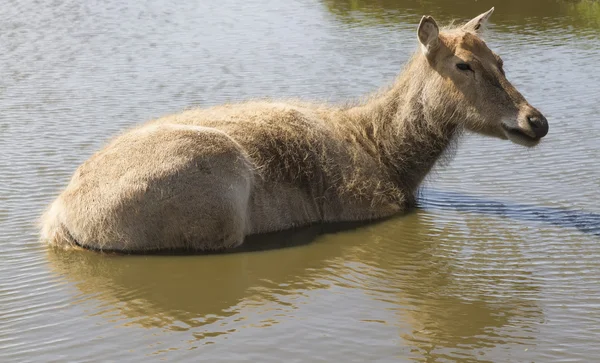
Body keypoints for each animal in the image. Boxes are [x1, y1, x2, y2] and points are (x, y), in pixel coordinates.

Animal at [41, 7, 548, 253]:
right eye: (463, 64)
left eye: (500, 59)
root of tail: (59, 218)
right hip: (221, 204)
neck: (388, 157)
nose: (536, 120)